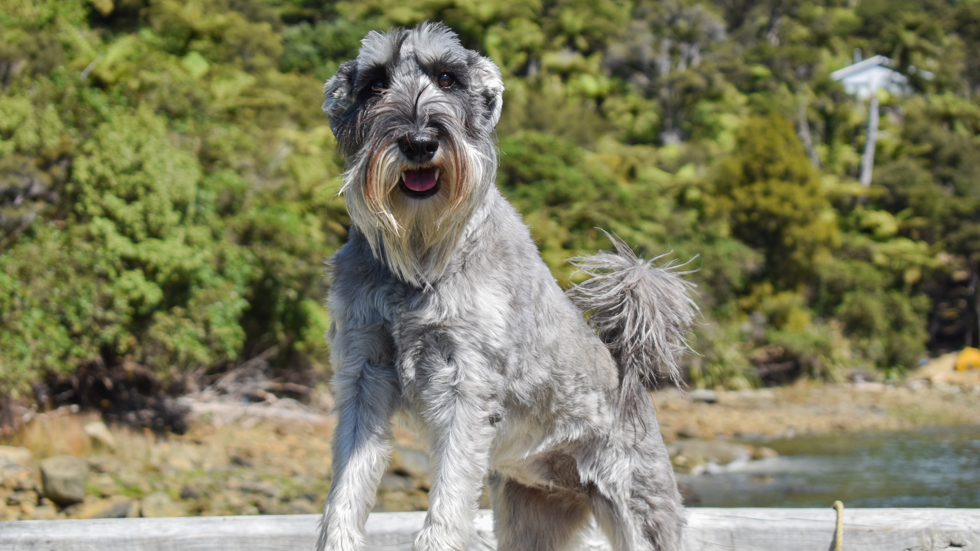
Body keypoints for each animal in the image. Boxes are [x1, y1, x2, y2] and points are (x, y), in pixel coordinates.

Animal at [318, 21, 692, 551]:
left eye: (448, 78)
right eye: (374, 83)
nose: (419, 142)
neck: (419, 257)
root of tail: (628, 373)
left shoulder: (465, 384)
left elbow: (448, 499)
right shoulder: (362, 373)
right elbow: (346, 489)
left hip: (639, 508)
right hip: (530, 515)